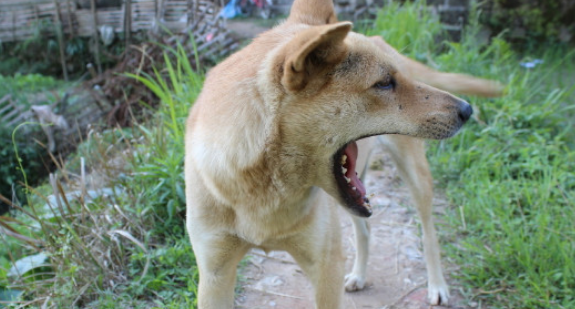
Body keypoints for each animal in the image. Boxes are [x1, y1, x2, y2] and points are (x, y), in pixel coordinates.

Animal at [184, 0, 500, 306]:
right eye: (383, 83)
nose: (467, 110)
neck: (264, 191)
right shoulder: (214, 275)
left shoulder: (326, 268)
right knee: (365, 229)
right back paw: (359, 275)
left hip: (416, 177)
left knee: (428, 234)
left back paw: (437, 285)